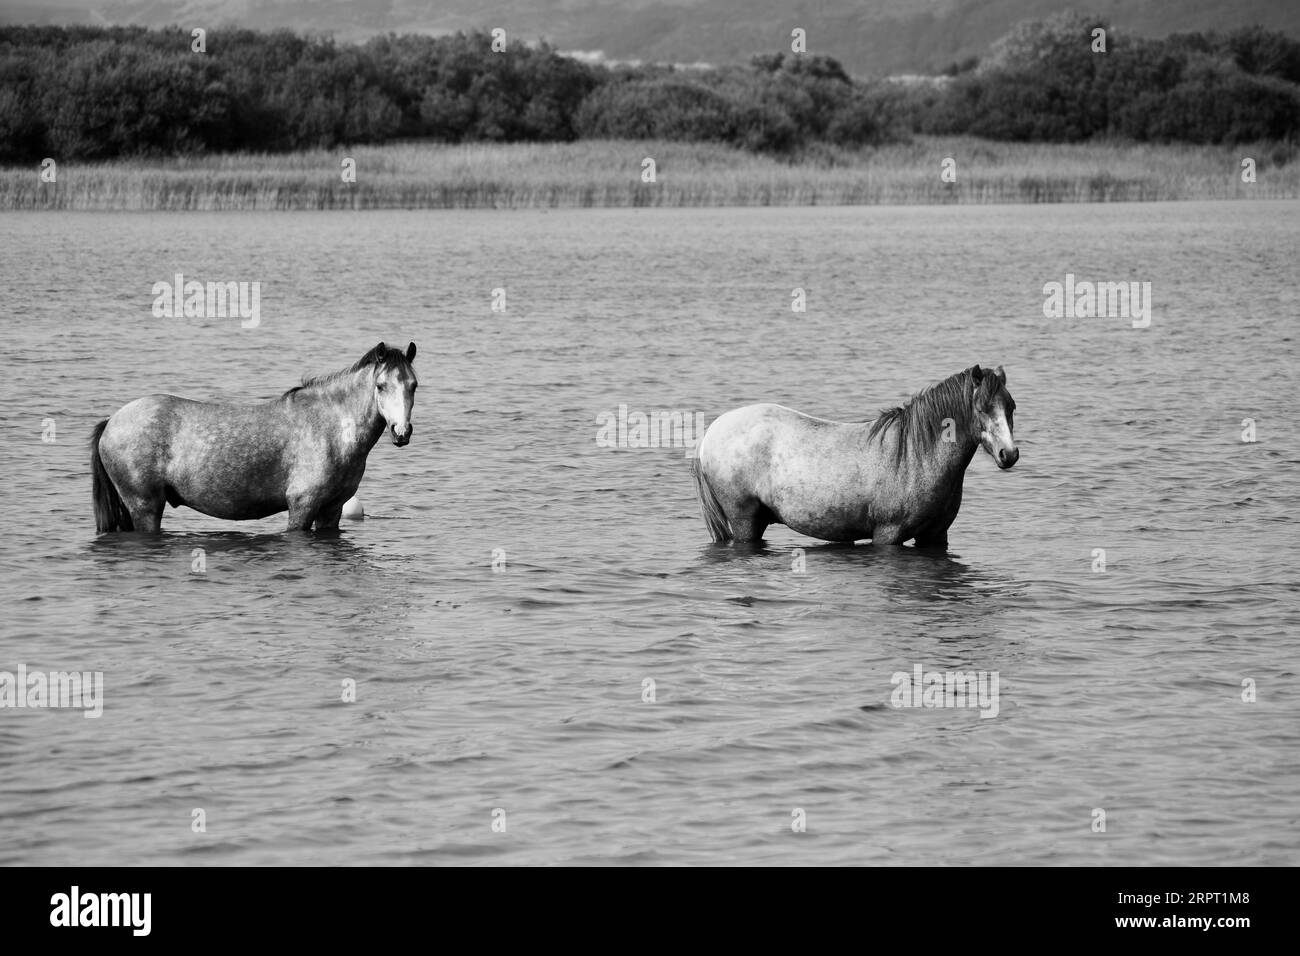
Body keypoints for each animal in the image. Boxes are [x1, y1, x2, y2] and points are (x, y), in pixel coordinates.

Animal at [90, 341, 418, 533]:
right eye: (380, 386)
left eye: (413, 385)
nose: (401, 432)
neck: (330, 427)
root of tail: (111, 422)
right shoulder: (302, 505)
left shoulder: (332, 509)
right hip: (144, 505)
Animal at [691, 365, 1018, 546]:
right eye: (982, 408)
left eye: (1011, 406)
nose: (1009, 454)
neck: (915, 456)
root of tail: (711, 432)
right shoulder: (888, 535)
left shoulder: (935, 536)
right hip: (744, 520)